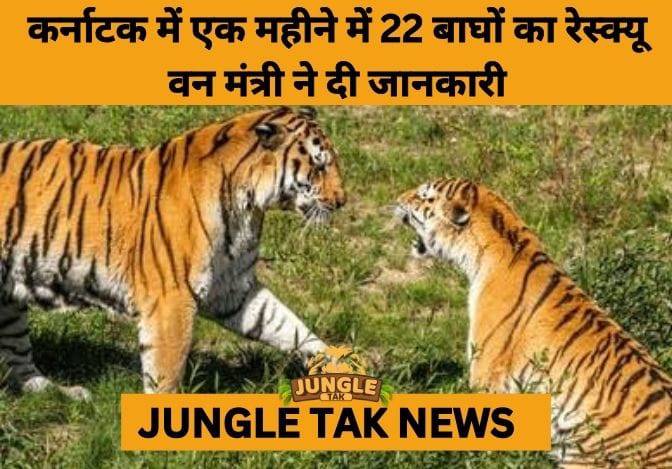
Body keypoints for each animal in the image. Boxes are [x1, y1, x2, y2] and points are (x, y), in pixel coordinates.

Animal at [0, 106, 345, 399]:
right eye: (319, 166)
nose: (342, 201)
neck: (248, 206)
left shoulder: (232, 288)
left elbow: (284, 324)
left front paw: (337, 365)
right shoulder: (170, 299)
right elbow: (167, 371)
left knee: (16, 357)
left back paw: (57, 391)